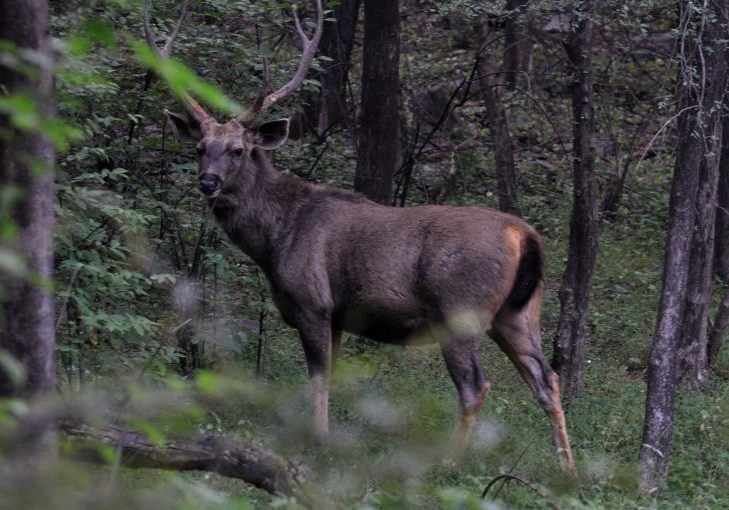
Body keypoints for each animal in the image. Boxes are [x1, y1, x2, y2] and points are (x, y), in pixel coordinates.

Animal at [144, 0, 575, 473]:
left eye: (238, 150)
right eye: (200, 148)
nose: (208, 182)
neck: (276, 238)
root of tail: (525, 235)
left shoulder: (313, 301)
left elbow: (317, 376)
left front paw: (319, 440)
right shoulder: (338, 315)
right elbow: (334, 375)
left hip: (460, 309)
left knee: (476, 385)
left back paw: (449, 462)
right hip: (519, 313)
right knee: (547, 379)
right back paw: (569, 470)